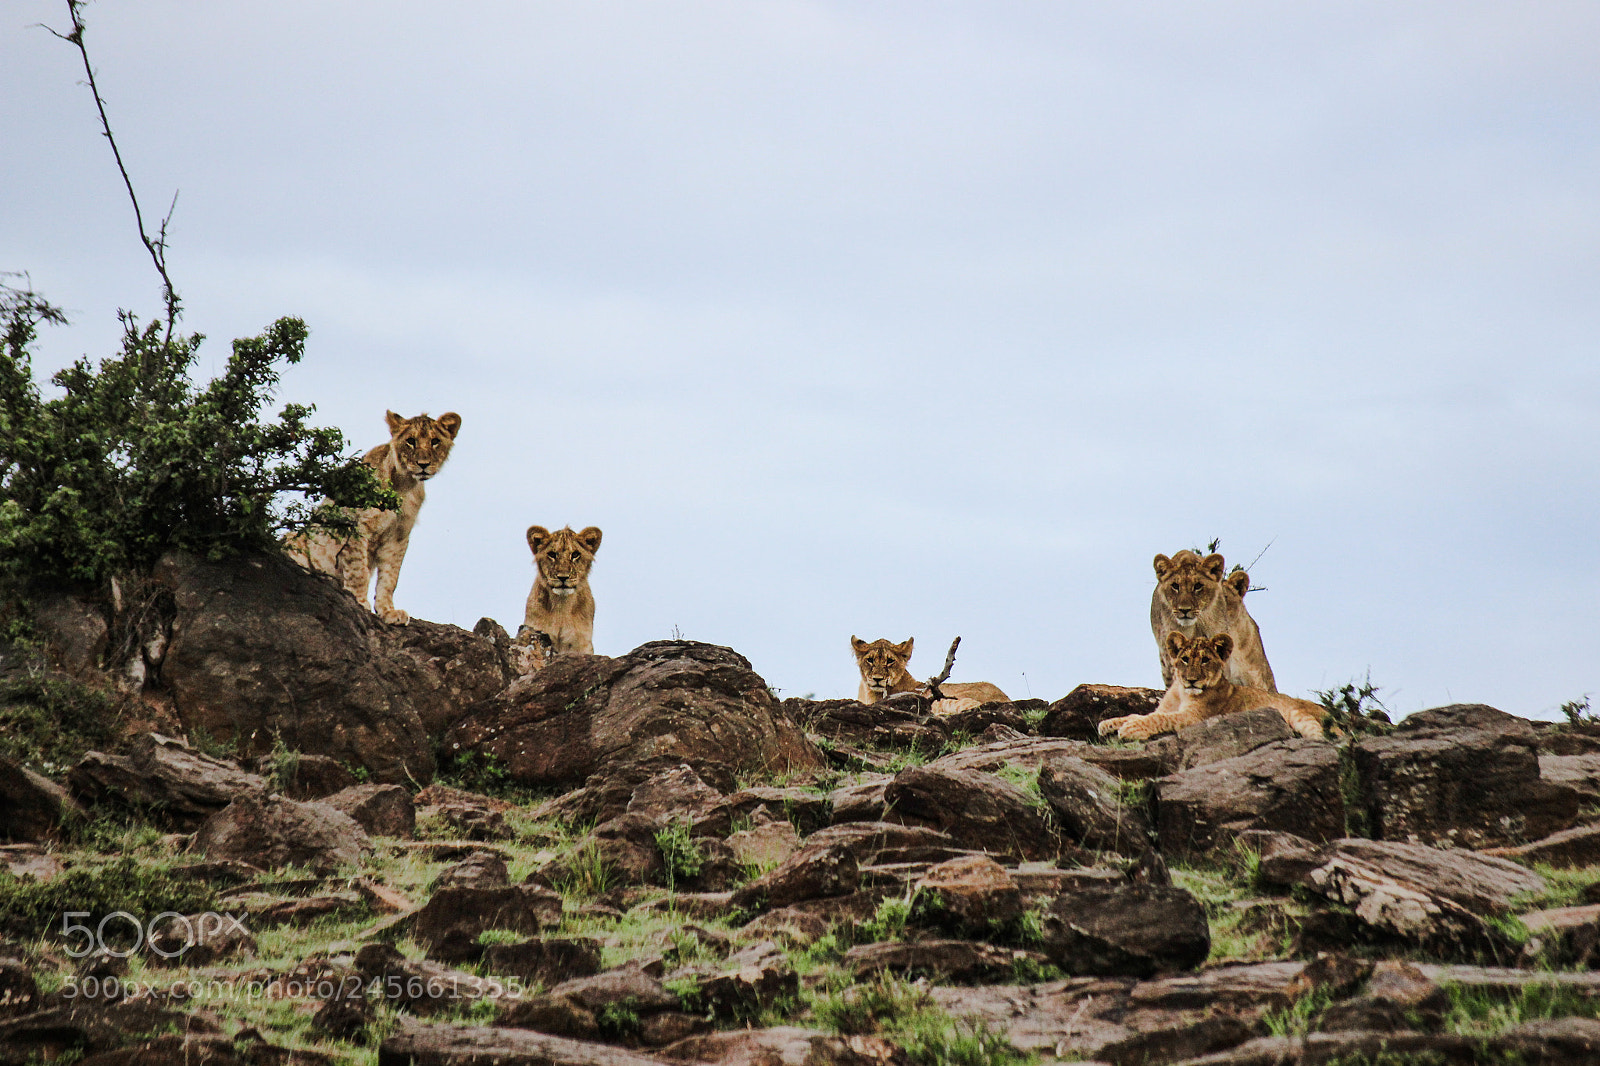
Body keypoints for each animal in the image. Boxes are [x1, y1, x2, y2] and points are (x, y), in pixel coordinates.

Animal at [285, 410, 461, 625]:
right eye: (410, 441)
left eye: (435, 441)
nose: (423, 465)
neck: (403, 484)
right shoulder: (355, 524)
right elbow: (358, 570)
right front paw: (360, 602)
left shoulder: (399, 535)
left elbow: (390, 577)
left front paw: (388, 611)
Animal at [1099, 631, 1328, 741]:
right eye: (1185, 659)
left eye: (1205, 660)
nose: (1192, 680)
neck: (1182, 692)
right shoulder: (1166, 708)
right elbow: (1140, 714)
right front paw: (1108, 724)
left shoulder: (1195, 717)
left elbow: (1159, 719)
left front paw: (1132, 729)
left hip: (1301, 716)